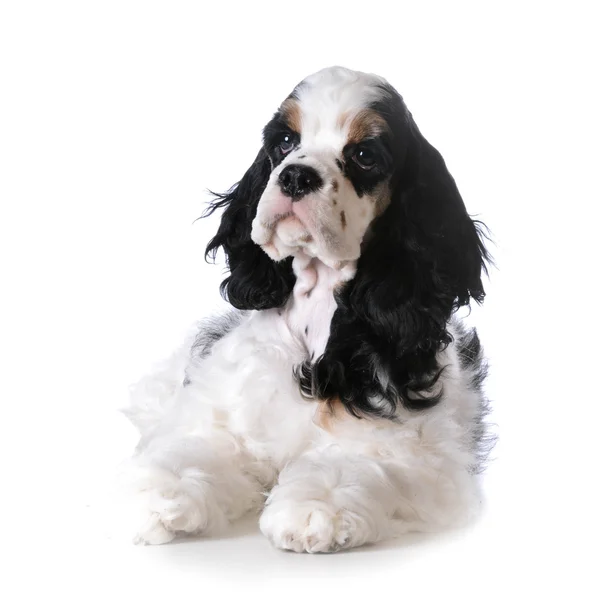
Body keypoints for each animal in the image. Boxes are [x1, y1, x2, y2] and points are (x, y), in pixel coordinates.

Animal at [125, 67, 492, 552]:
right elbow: (201, 445)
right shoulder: (220, 409)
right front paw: (162, 495)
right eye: (284, 140)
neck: (316, 316)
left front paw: (315, 510)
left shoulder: (407, 447)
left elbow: (348, 463)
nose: (296, 176)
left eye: (364, 155)